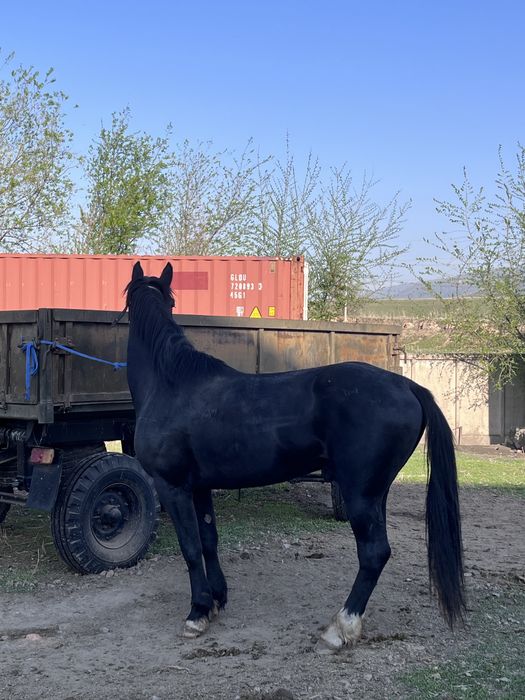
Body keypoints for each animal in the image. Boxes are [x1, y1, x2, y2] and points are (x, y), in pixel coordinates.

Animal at [125, 262, 465, 653]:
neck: (172, 385)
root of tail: (408, 385)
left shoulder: (173, 487)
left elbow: (190, 547)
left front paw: (197, 613)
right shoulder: (199, 488)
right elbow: (209, 542)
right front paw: (216, 600)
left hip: (359, 495)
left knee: (374, 553)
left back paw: (340, 628)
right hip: (377, 492)